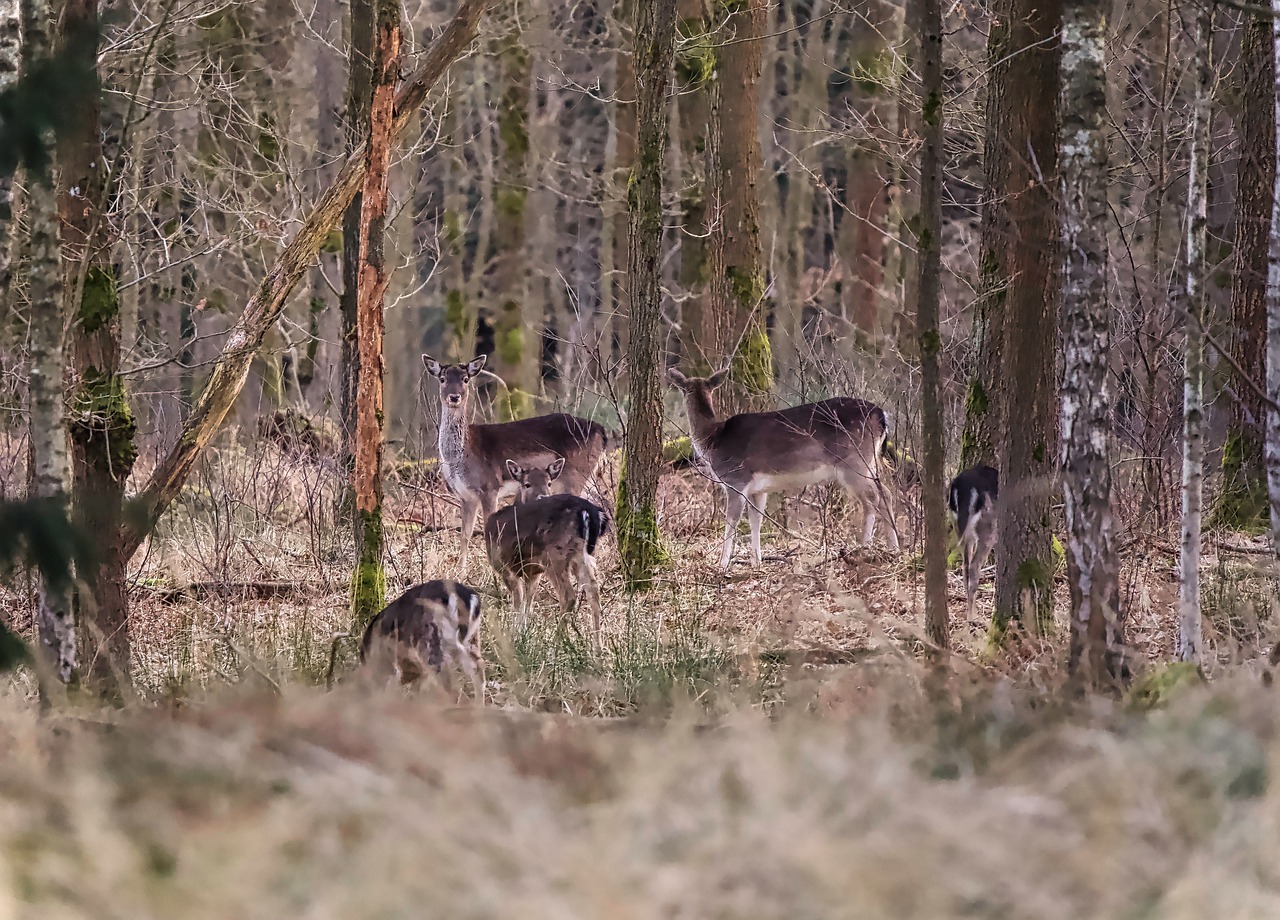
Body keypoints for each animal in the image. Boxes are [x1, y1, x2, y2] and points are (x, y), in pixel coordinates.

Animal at [422, 355, 606, 573]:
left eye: (465, 379)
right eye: (442, 378)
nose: (454, 397)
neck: (461, 458)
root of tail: (602, 431)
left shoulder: (489, 487)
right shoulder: (465, 496)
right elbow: (465, 534)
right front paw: (460, 569)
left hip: (575, 474)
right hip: (588, 476)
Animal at [486, 458, 611, 644]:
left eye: (549, 483)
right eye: (527, 484)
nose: (542, 495)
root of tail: (589, 512)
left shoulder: (504, 566)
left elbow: (518, 602)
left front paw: (515, 635)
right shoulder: (533, 573)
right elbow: (528, 603)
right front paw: (524, 633)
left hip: (555, 554)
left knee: (568, 595)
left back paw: (558, 641)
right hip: (582, 555)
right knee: (593, 591)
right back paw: (598, 645)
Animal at [665, 368, 906, 568]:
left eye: (684, 389)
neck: (714, 441)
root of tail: (881, 415)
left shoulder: (736, 479)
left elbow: (731, 521)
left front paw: (722, 564)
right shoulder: (758, 489)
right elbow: (756, 520)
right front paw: (757, 561)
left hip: (853, 461)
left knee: (879, 496)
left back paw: (884, 547)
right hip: (868, 462)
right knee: (878, 496)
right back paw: (875, 547)